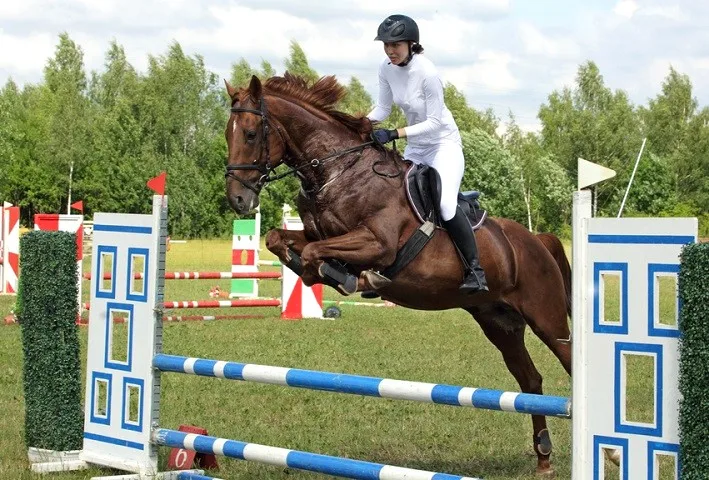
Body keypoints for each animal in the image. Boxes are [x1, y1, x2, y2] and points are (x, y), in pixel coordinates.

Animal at [224, 73, 572, 474]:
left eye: (251, 134)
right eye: (227, 134)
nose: (238, 200)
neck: (337, 172)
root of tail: (537, 240)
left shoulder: (378, 243)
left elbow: (315, 254)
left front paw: (350, 277)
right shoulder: (317, 234)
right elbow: (278, 238)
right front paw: (325, 274)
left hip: (547, 319)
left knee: (569, 361)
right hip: (500, 323)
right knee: (530, 379)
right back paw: (543, 455)